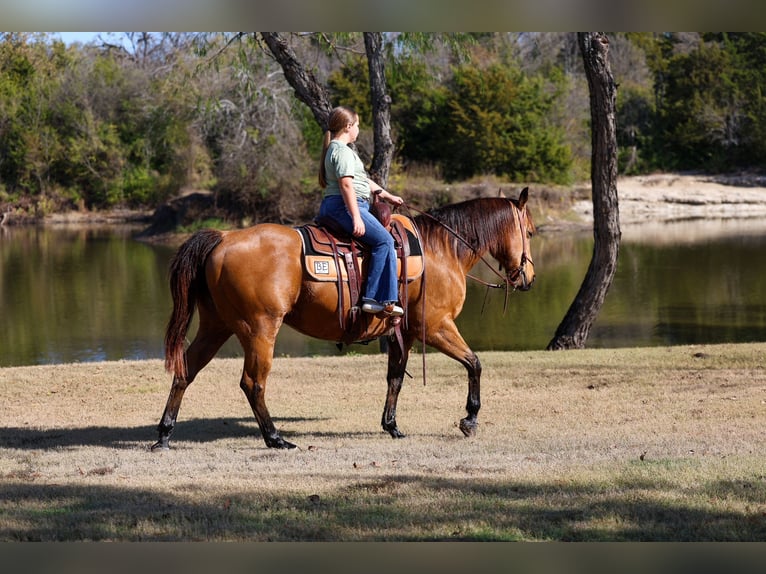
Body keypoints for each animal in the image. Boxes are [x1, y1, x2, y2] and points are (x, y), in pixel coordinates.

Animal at [152, 188, 536, 451]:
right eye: (530, 232)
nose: (528, 278)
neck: (440, 250)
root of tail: (223, 237)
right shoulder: (437, 326)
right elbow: (474, 363)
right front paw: (469, 419)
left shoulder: (405, 332)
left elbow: (395, 378)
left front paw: (392, 426)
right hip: (259, 329)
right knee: (253, 383)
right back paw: (275, 438)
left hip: (216, 326)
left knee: (185, 371)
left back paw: (165, 434)